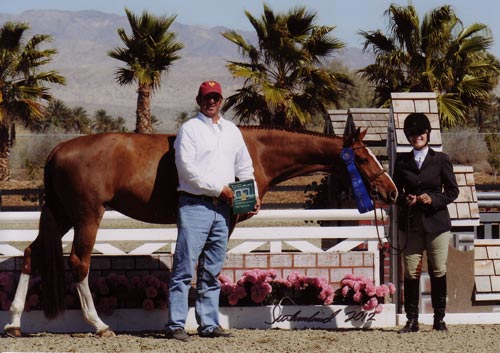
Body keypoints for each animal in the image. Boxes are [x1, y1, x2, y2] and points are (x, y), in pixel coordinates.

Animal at [2, 124, 394, 336]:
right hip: (86, 216)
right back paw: (98, 324)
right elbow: (208, 267)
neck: (254, 149)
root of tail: (58, 149)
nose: (391, 191)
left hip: (61, 215)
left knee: (31, 254)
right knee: (79, 263)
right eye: (362, 157)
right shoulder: (226, 219)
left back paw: (15, 322)